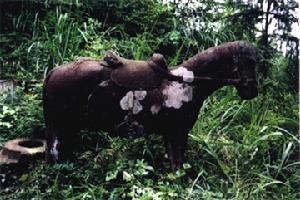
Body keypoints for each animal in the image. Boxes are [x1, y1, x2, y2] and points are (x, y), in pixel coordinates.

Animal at [42, 41, 258, 170]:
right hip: (59, 128)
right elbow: (177, 165)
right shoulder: (177, 133)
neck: (187, 82)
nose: (253, 91)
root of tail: (52, 73)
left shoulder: (172, 134)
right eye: (249, 62)